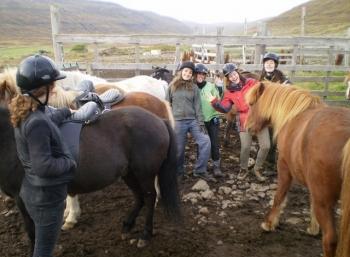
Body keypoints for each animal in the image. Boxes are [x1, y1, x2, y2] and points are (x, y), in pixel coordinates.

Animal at [245, 81, 350, 256]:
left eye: (252, 104)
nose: (246, 126)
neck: (294, 115)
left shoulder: (284, 167)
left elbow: (279, 196)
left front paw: (269, 223)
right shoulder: (314, 189)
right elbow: (311, 204)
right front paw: (313, 228)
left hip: (325, 201)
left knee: (330, 239)